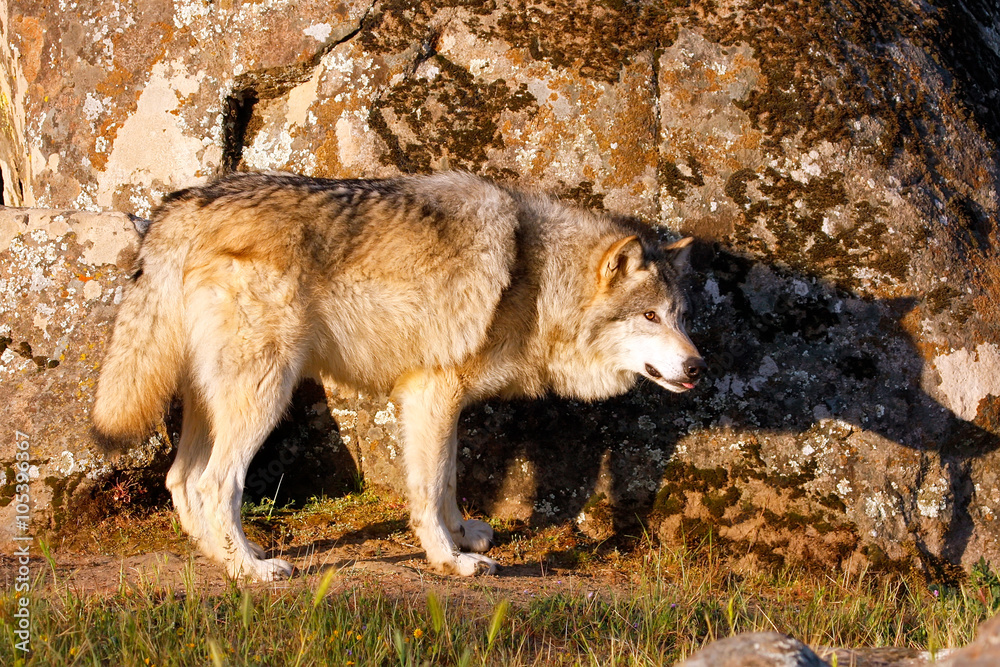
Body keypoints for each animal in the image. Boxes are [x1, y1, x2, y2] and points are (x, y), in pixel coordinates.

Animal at [92, 171, 706, 581]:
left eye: (679, 316)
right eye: (650, 317)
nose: (698, 367)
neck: (536, 277)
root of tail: (182, 205)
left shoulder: (438, 402)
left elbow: (449, 480)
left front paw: (463, 535)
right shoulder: (430, 392)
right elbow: (428, 488)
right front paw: (451, 560)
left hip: (213, 401)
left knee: (179, 479)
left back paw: (220, 558)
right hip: (265, 397)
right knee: (213, 483)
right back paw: (251, 571)